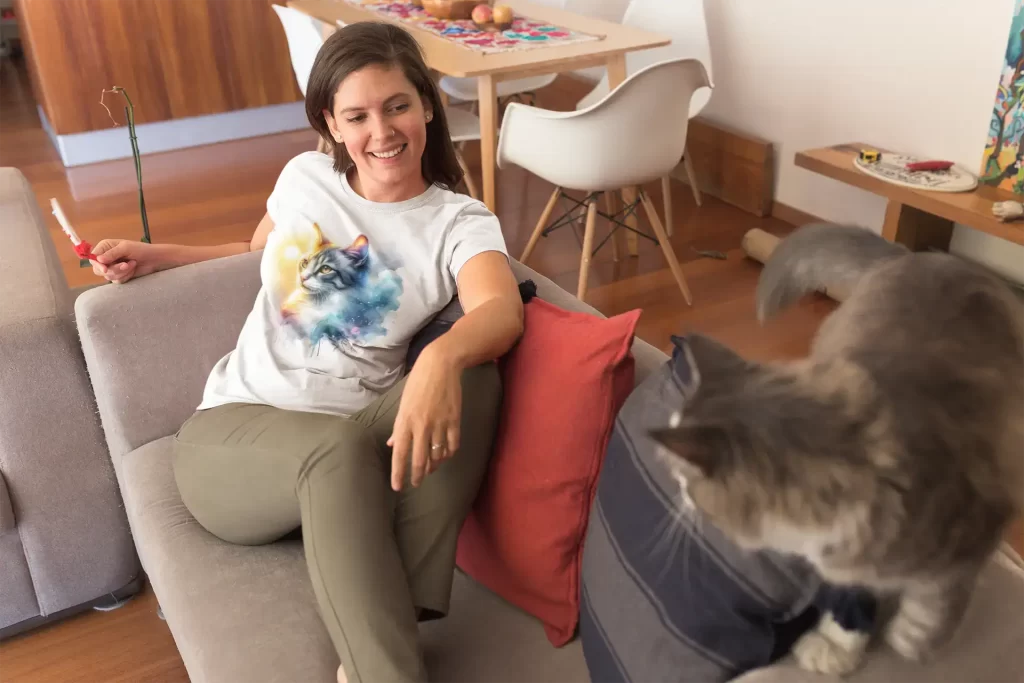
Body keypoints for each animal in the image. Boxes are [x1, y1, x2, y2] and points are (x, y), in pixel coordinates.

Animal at [650, 223, 1024, 676]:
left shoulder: (979, 525)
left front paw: (913, 640)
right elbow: (852, 597)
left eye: (684, 476)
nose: (677, 491)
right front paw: (837, 644)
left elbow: (943, 594)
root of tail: (923, 256)